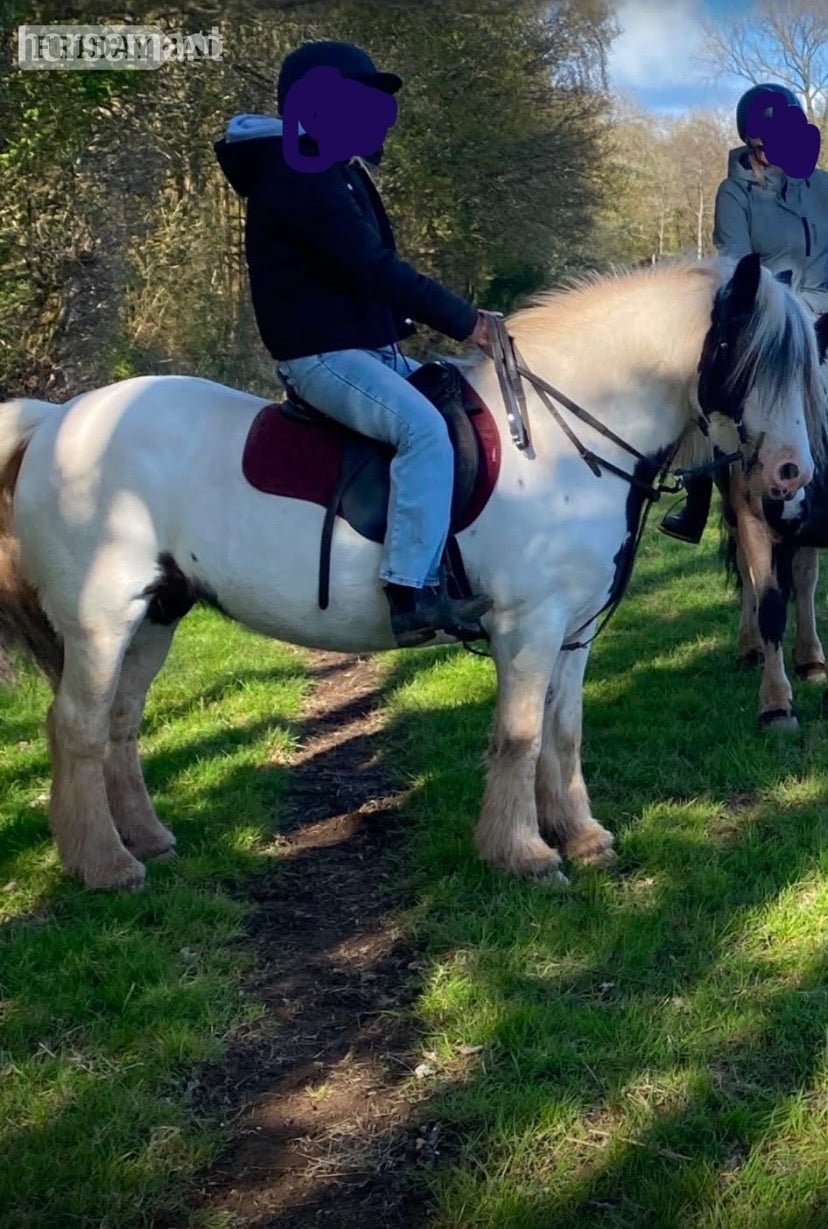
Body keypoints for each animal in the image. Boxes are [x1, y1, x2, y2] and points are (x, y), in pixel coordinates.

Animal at [0, 252, 824, 891]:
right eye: (745, 355)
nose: (792, 475)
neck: (563, 436)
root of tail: (57, 420)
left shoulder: (572, 632)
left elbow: (563, 732)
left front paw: (582, 835)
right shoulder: (528, 626)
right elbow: (520, 734)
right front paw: (523, 853)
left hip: (156, 616)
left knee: (118, 724)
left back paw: (145, 839)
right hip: (101, 620)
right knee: (76, 727)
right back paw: (105, 864)